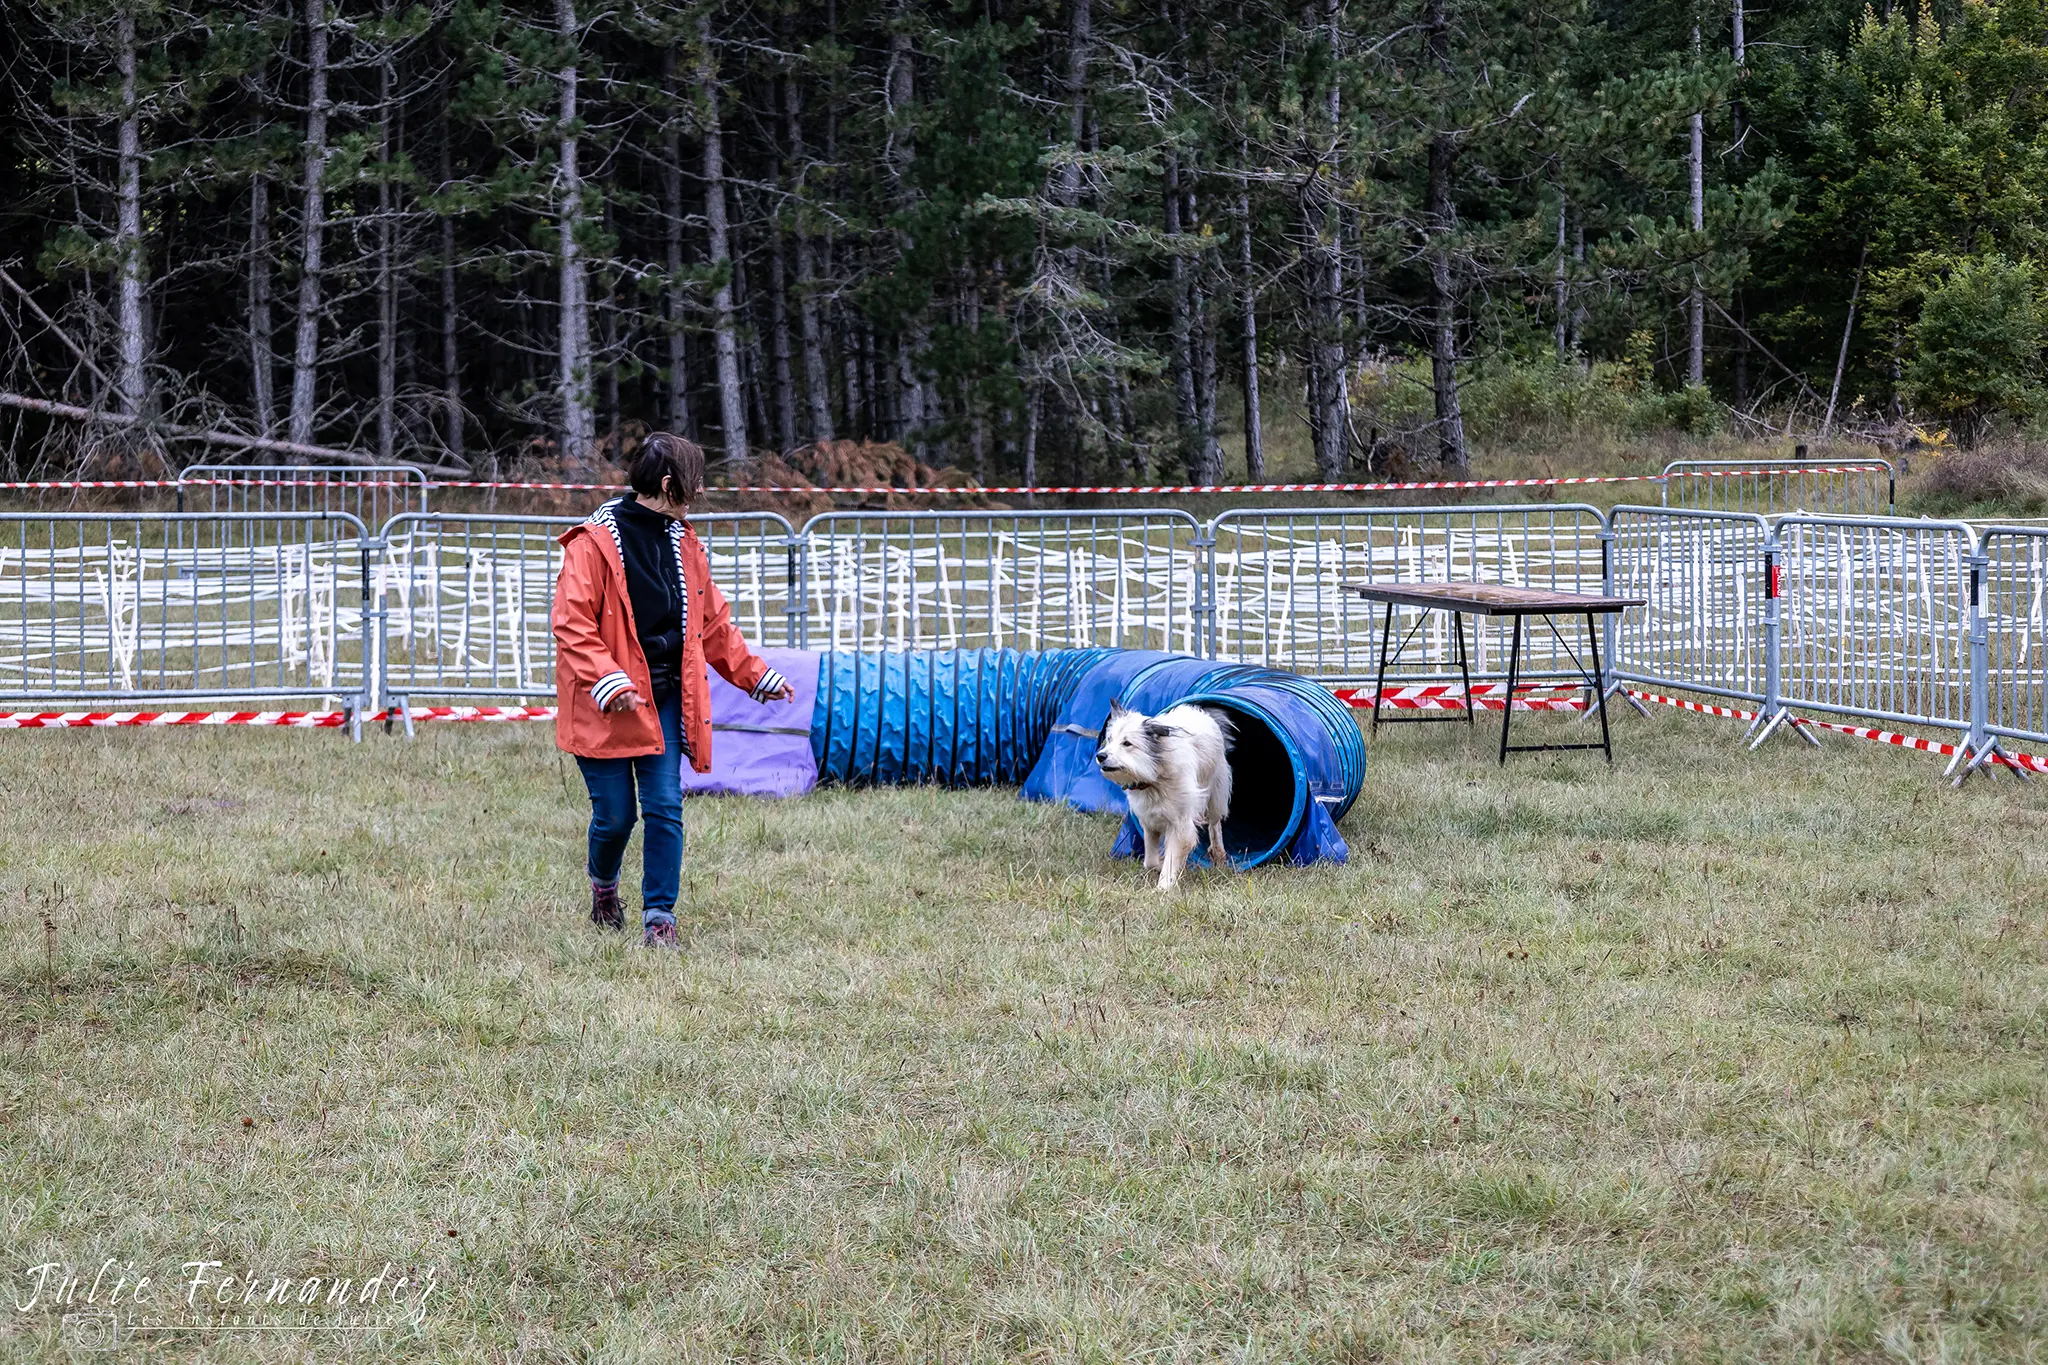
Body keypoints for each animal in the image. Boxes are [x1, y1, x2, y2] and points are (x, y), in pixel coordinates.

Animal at [1105, 699, 1228, 892]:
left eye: (1127, 743)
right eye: (1109, 739)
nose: (1100, 756)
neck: (1154, 778)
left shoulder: (1180, 824)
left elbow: (1174, 854)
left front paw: (1163, 886)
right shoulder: (1149, 822)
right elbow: (1150, 860)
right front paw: (1161, 864)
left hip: (1215, 793)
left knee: (1215, 823)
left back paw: (1218, 852)